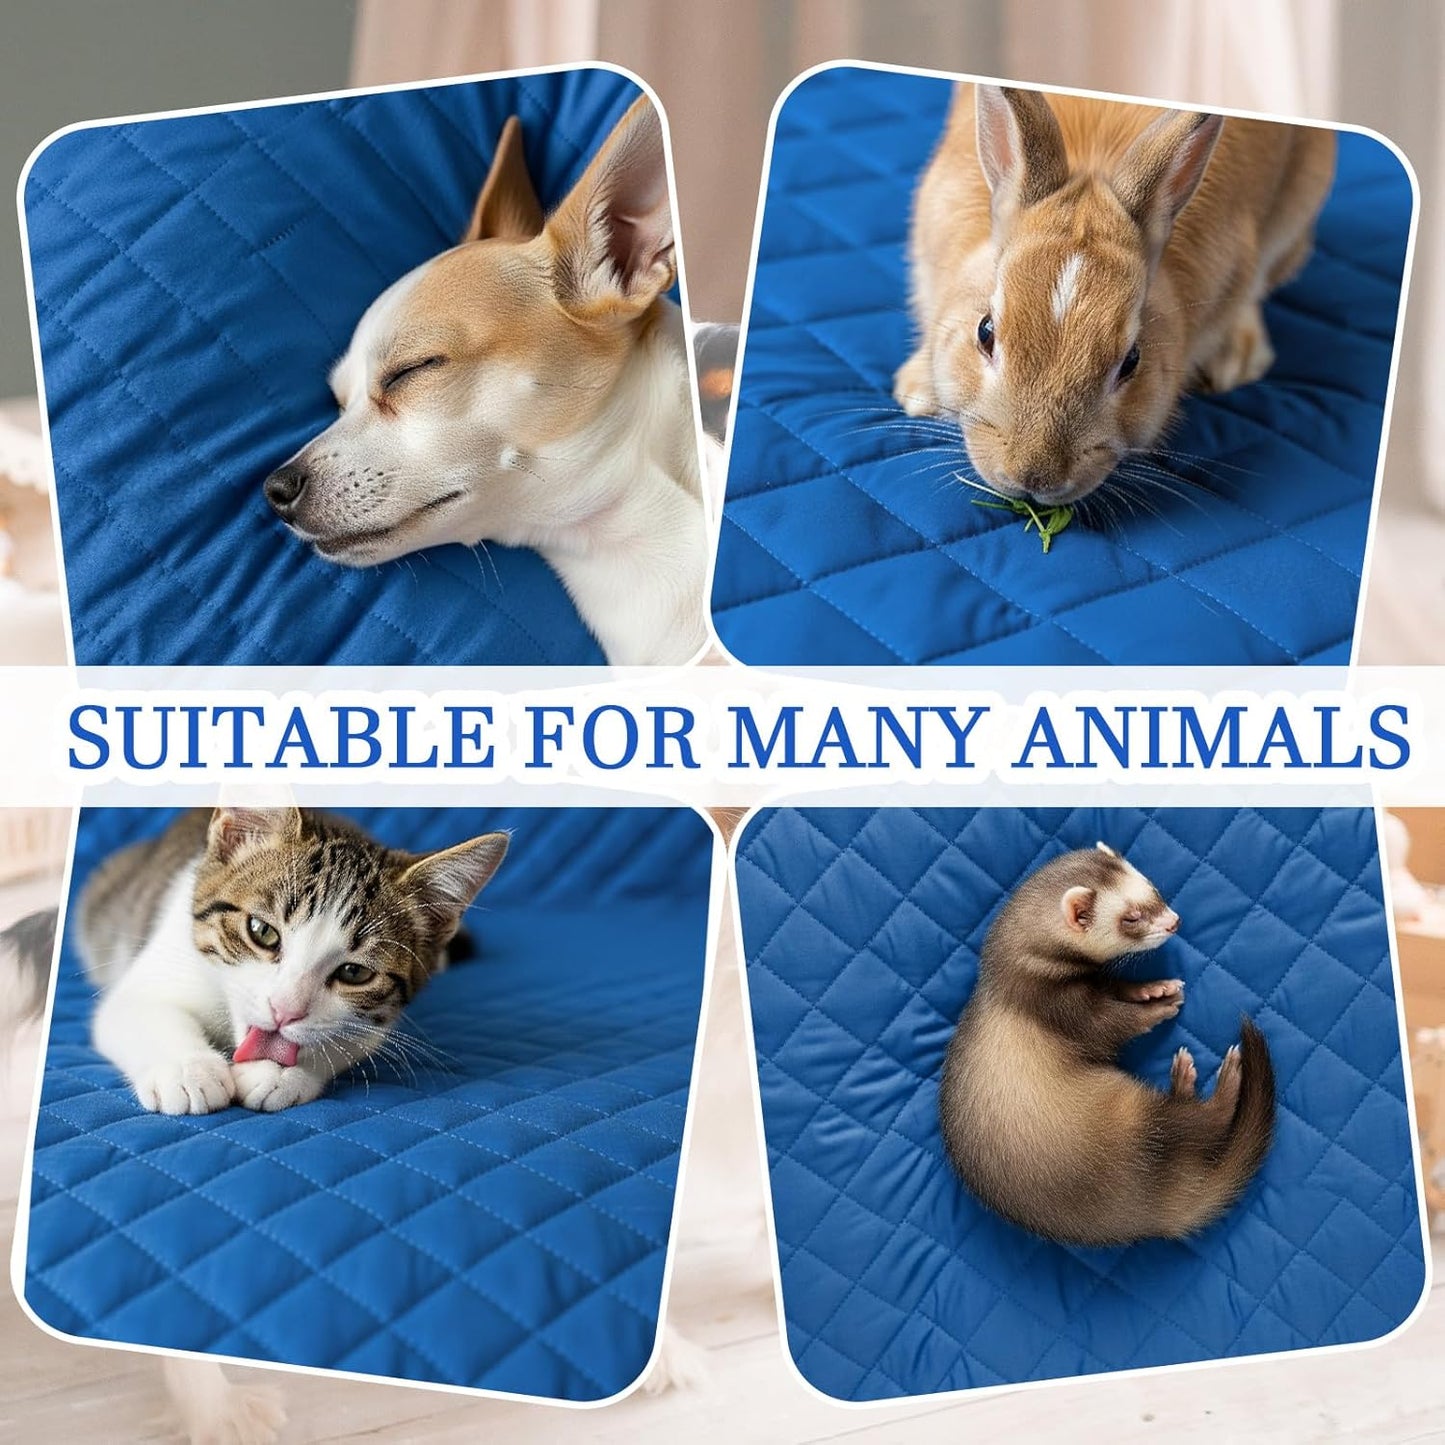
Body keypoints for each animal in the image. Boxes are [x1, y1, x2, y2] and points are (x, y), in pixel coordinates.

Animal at [939, 842, 1274, 1246]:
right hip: (1133, 1122)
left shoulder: (1094, 986)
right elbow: (1113, 1025)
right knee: (1204, 1122)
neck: (1011, 973)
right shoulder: (1067, 1011)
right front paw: (1159, 1007)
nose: (1174, 921)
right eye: (1131, 917)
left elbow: (1117, 987)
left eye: (1150, 885)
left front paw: (1152, 988)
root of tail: (1145, 1214)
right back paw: (1222, 1076)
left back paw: (1183, 1078)